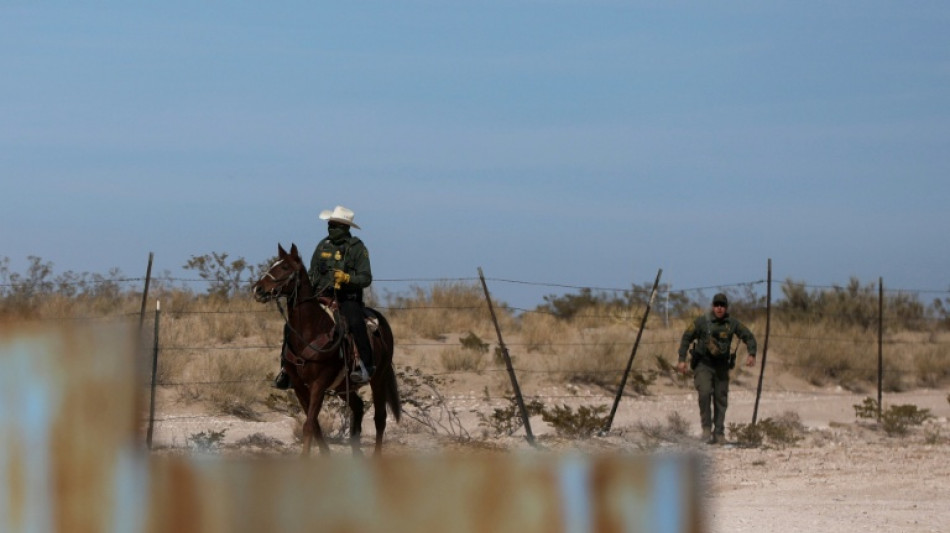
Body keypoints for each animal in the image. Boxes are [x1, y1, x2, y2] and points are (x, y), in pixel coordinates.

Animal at [251, 243, 400, 456]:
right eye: (273, 264)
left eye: (285, 267)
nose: (258, 289)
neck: (310, 331)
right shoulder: (299, 385)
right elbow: (313, 424)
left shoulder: (319, 384)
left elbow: (308, 425)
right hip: (343, 387)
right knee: (358, 408)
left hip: (378, 377)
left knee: (380, 417)